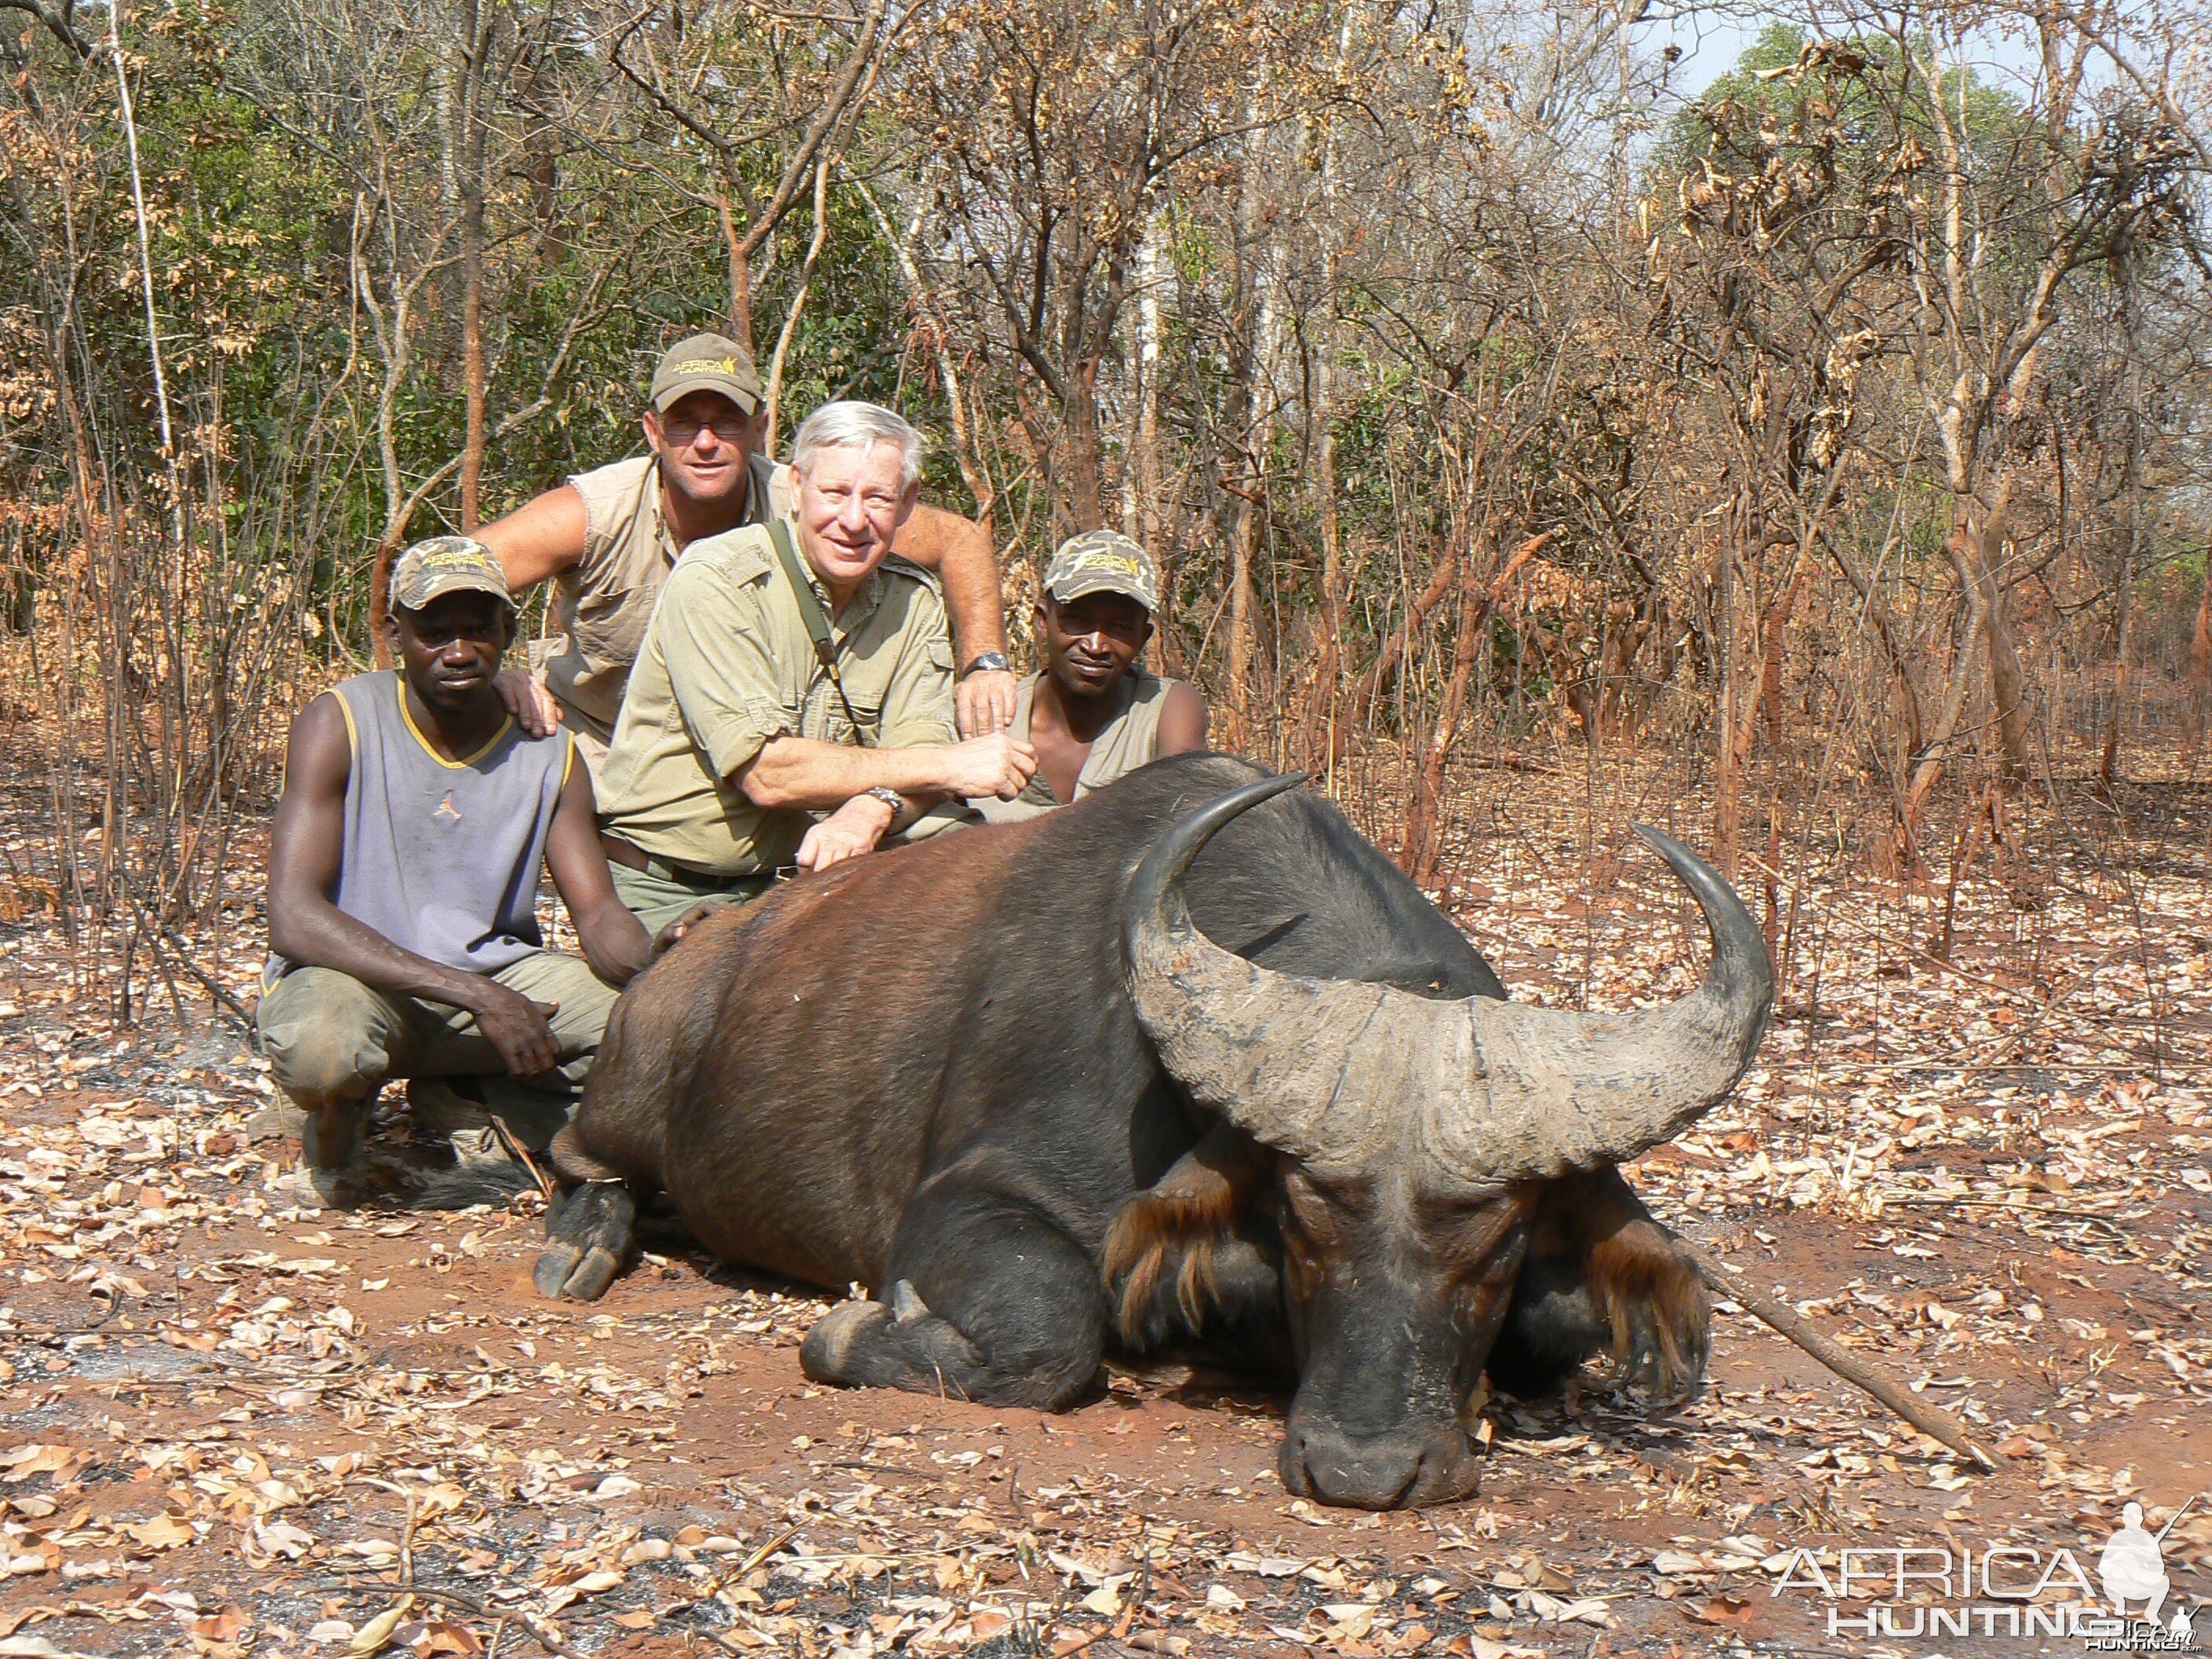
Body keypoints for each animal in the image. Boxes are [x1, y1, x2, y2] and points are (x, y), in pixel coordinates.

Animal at [497, 760, 1760, 1513]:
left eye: (1496, 1248)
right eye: (1302, 1221)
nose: (1362, 1471)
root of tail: (695, 959)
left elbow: (1562, 1328)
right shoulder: (970, 1203)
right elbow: (1050, 1333)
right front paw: (850, 1332)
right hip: (629, 1095)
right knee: (584, 1161)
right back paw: (580, 1247)